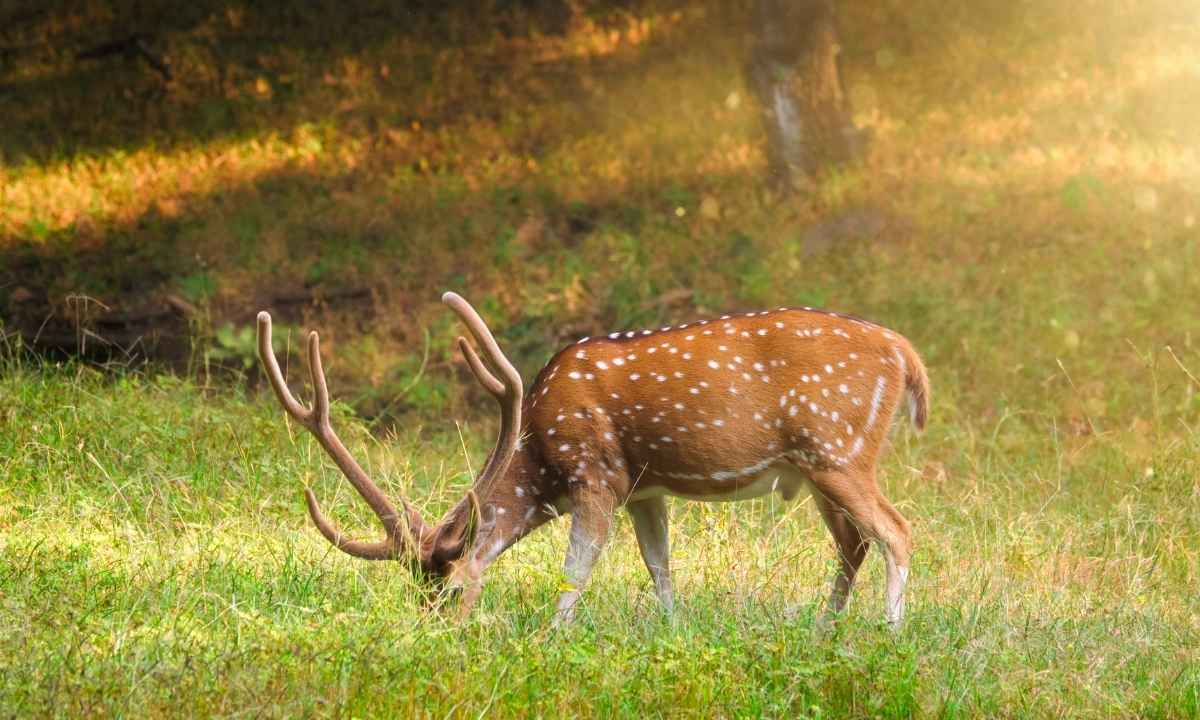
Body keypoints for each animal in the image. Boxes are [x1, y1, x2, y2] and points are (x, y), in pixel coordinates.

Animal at [256, 292, 929, 626]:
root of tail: (905, 352)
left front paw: (551, 637)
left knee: (896, 530)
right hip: (816, 468)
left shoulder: (596, 473)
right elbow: (660, 567)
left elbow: (576, 568)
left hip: (838, 448)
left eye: (450, 594)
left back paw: (888, 634)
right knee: (854, 542)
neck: (539, 452)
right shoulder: (645, 488)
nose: (427, 634)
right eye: (414, 595)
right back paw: (822, 630)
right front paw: (673, 633)